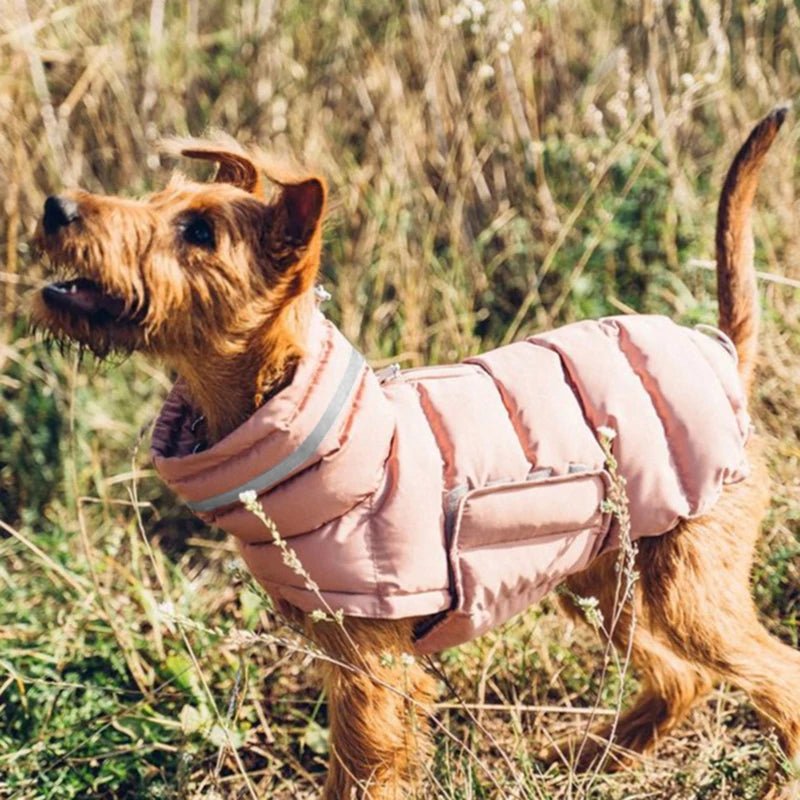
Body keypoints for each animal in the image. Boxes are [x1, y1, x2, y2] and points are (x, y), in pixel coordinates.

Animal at [32, 108, 800, 800]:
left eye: (198, 231)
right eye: (155, 199)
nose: (55, 207)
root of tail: (721, 351)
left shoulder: (373, 672)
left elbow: (361, 778)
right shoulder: (352, 663)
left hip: (688, 591)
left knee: (774, 674)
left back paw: (771, 784)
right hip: (604, 578)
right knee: (681, 678)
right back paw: (583, 762)